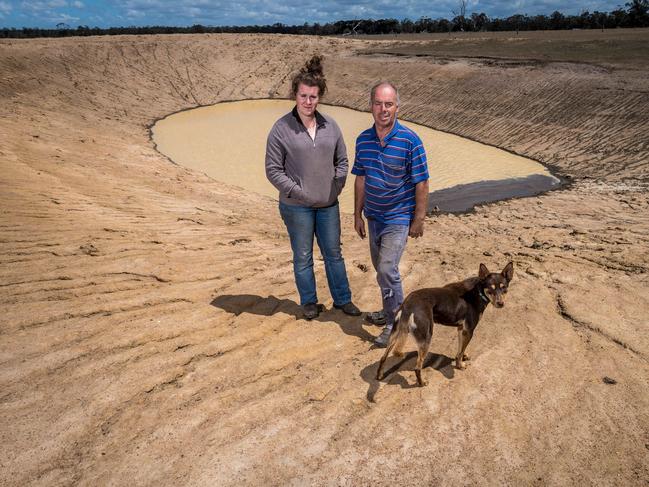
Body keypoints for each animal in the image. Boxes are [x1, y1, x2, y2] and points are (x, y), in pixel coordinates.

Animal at [374, 264, 512, 388]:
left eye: (504, 287)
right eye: (491, 288)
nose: (500, 303)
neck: (478, 290)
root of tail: (408, 305)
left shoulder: (461, 329)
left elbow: (460, 348)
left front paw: (462, 357)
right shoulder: (469, 330)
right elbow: (461, 350)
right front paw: (460, 365)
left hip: (394, 335)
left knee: (383, 357)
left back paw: (379, 376)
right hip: (426, 336)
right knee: (417, 367)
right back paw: (421, 383)